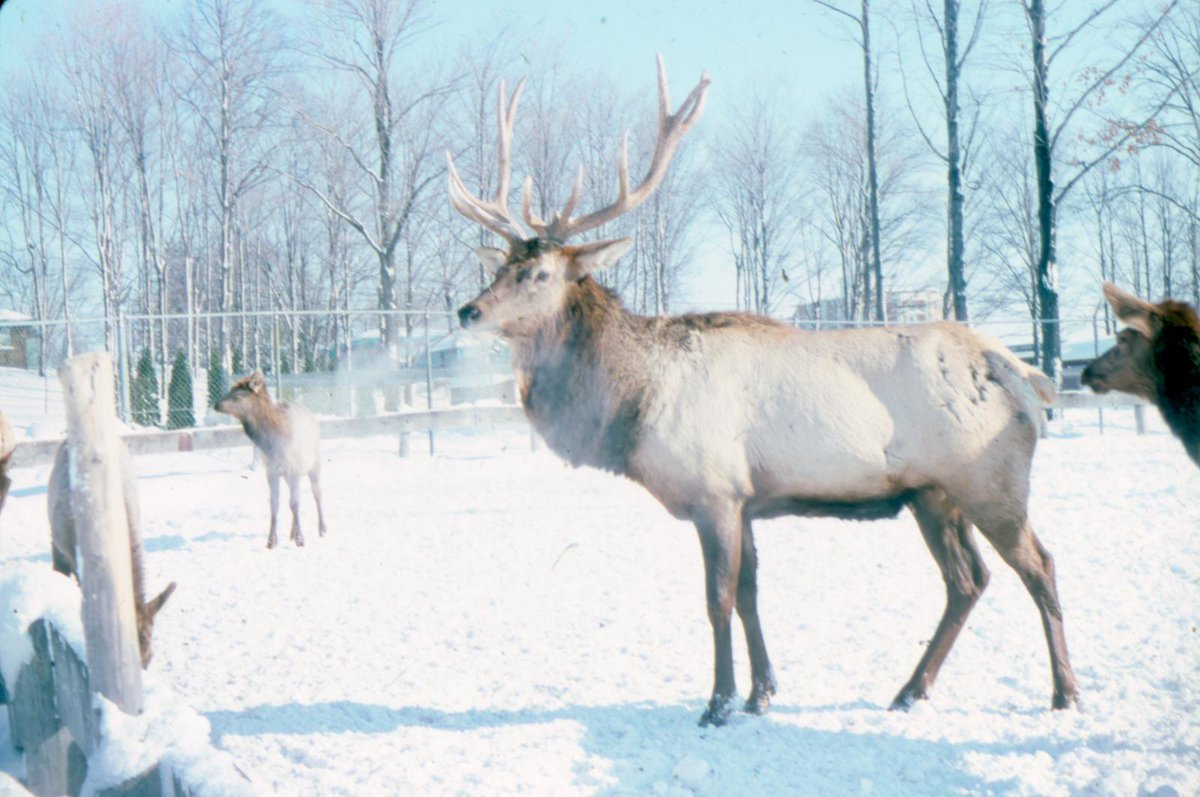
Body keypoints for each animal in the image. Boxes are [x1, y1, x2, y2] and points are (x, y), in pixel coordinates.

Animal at [215, 369, 327, 548]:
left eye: (237, 395)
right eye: (230, 390)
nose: (216, 405)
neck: (273, 442)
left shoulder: (295, 469)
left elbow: (294, 503)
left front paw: (300, 539)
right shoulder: (271, 471)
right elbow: (274, 504)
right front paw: (271, 541)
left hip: (314, 463)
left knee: (317, 493)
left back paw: (322, 529)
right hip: (288, 474)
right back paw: (292, 533)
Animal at [447, 57, 1077, 726]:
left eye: (539, 273)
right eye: (499, 266)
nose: (468, 310)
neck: (632, 404)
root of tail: (1024, 373)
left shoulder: (715, 492)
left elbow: (717, 599)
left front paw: (718, 703)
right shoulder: (747, 498)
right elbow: (751, 594)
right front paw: (761, 693)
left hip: (990, 481)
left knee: (1038, 565)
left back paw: (1064, 691)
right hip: (933, 493)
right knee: (967, 580)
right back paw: (910, 690)